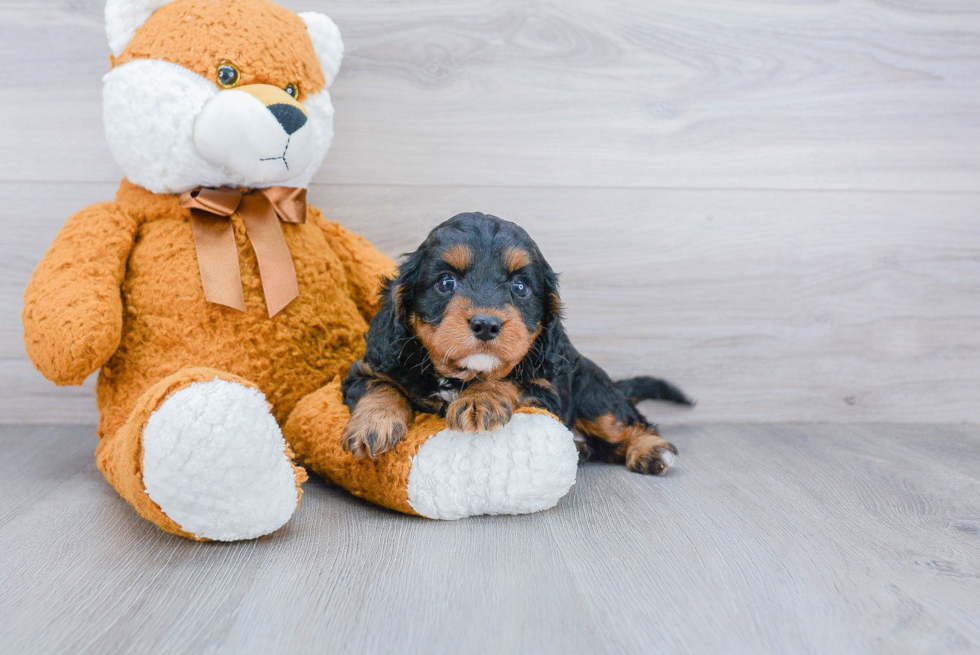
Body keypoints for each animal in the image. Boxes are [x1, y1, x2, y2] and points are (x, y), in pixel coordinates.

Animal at [340, 213, 692, 474]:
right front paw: (373, 425)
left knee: (625, 423)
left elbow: (510, 379)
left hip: (595, 395)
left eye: (520, 286)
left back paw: (651, 450)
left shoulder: (546, 391)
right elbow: (380, 388)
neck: (458, 376)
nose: (486, 324)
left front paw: (480, 399)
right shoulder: (365, 371)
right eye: (446, 282)